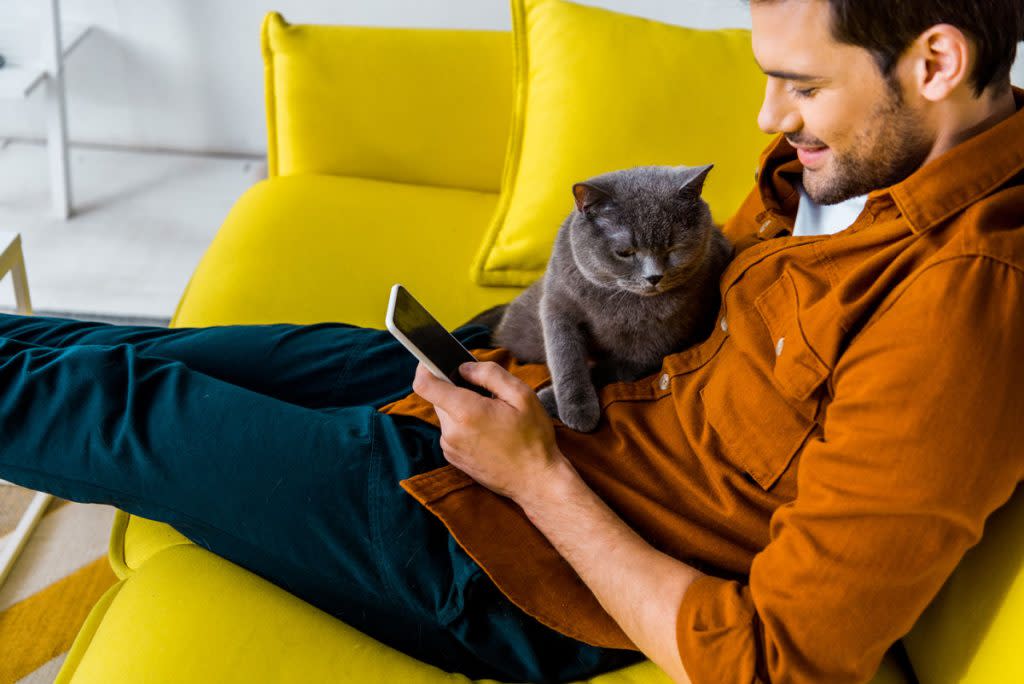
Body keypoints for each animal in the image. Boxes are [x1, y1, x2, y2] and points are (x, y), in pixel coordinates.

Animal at [491, 164, 733, 430]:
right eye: (624, 252)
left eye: (673, 249)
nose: (654, 277)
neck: (621, 303)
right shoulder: (557, 304)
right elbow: (565, 356)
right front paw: (576, 407)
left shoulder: (654, 346)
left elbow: (609, 370)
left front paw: (552, 402)